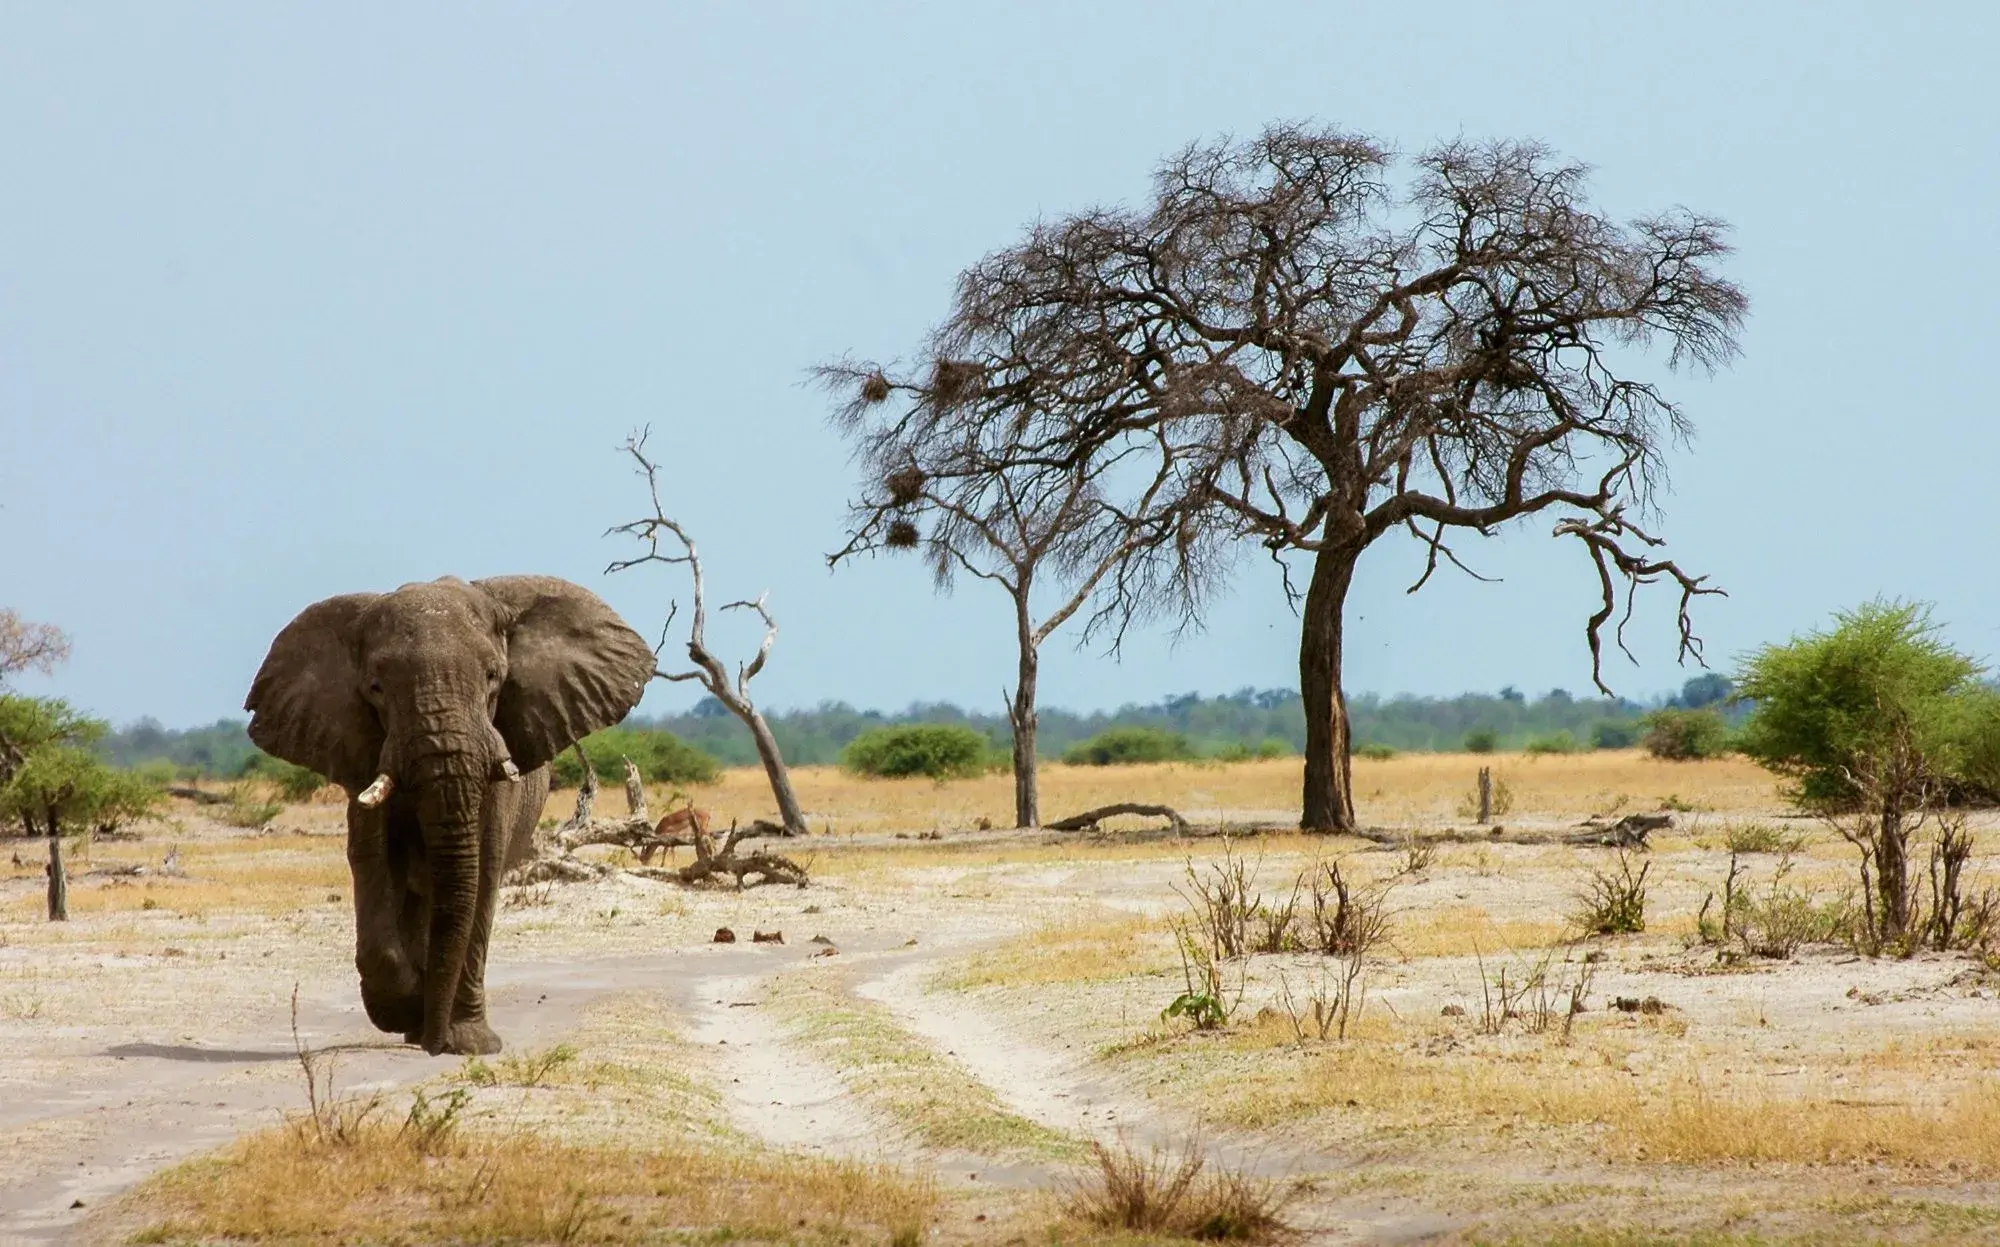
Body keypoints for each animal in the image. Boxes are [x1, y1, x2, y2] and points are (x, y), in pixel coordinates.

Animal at [244, 575, 655, 1055]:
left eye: (493, 677)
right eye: (376, 688)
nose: (434, 1045)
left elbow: (482, 871)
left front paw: (469, 1043)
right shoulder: (361, 754)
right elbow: (373, 862)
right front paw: (402, 1009)